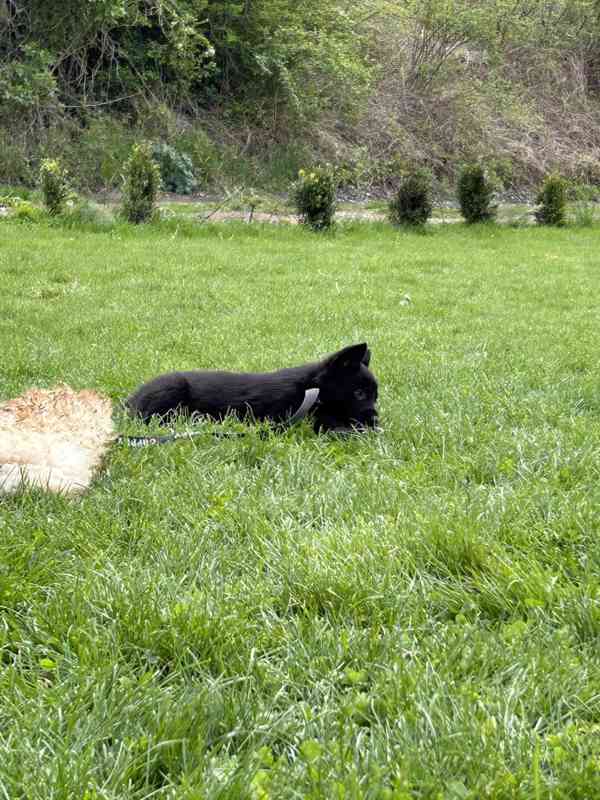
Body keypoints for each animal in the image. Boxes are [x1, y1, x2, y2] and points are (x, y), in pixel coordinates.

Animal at [126, 342, 380, 432]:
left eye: (375, 396)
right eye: (359, 394)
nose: (376, 419)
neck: (311, 390)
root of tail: (128, 401)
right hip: (171, 388)